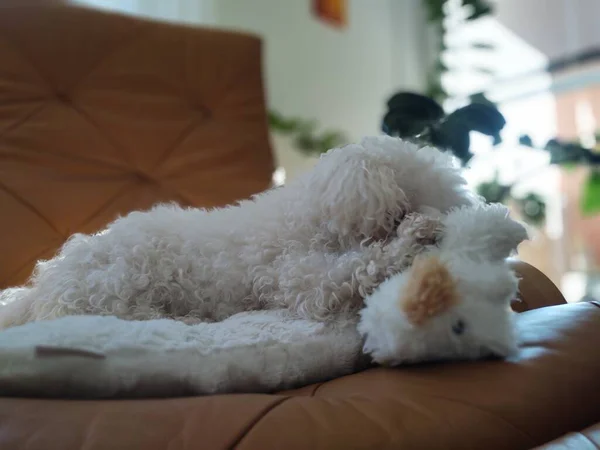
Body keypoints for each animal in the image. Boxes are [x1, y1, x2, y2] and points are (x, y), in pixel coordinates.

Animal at [0, 135, 524, 328]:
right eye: (401, 208)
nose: (438, 222)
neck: (316, 216)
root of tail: (40, 287)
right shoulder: (299, 278)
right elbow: (355, 267)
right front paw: (414, 240)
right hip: (118, 280)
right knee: (111, 313)